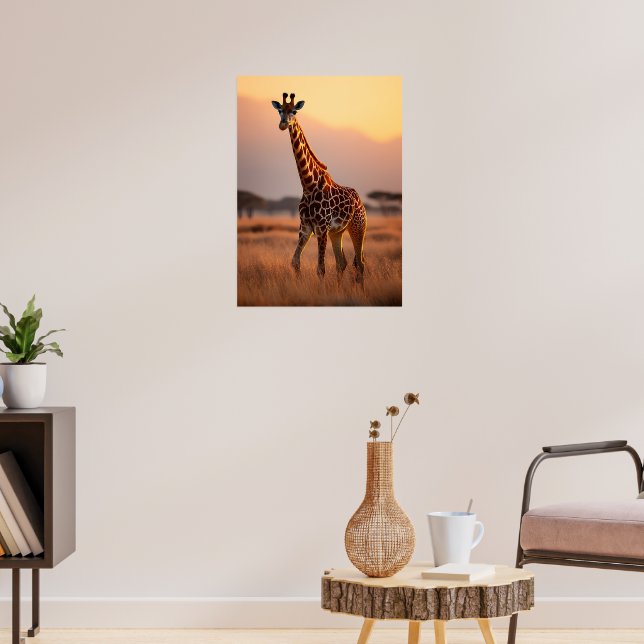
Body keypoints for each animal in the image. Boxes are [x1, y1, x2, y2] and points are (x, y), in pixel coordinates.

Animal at [271, 92, 367, 283]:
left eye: (294, 111)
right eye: (280, 110)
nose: (283, 124)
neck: (308, 185)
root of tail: (360, 200)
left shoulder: (321, 228)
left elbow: (320, 268)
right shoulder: (305, 227)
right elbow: (295, 262)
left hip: (358, 227)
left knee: (360, 264)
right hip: (337, 232)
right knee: (342, 263)